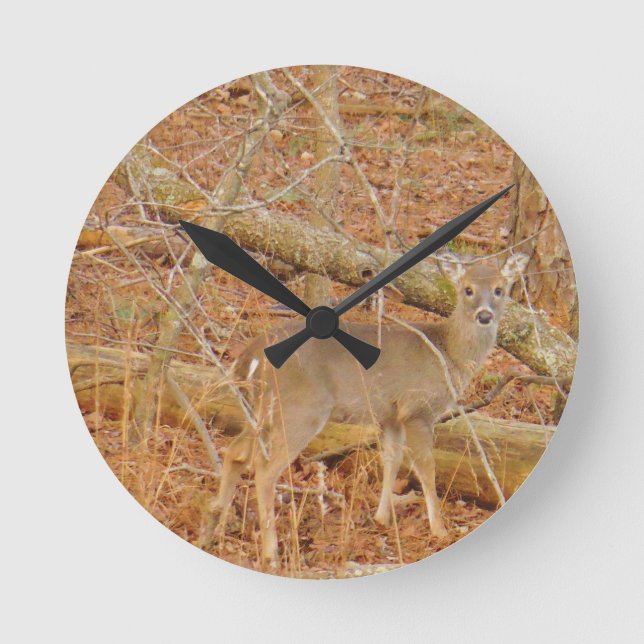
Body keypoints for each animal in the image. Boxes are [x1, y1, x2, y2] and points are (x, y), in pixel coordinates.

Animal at [203, 252, 529, 568]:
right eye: (468, 289)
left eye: (499, 289)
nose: (485, 315)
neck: (448, 356)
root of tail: (250, 354)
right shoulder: (417, 408)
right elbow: (426, 467)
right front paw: (439, 529)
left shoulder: (390, 414)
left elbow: (392, 459)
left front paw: (381, 518)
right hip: (301, 410)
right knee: (265, 469)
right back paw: (270, 551)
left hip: (259, 410)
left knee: (235, 452)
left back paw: (216, 526)